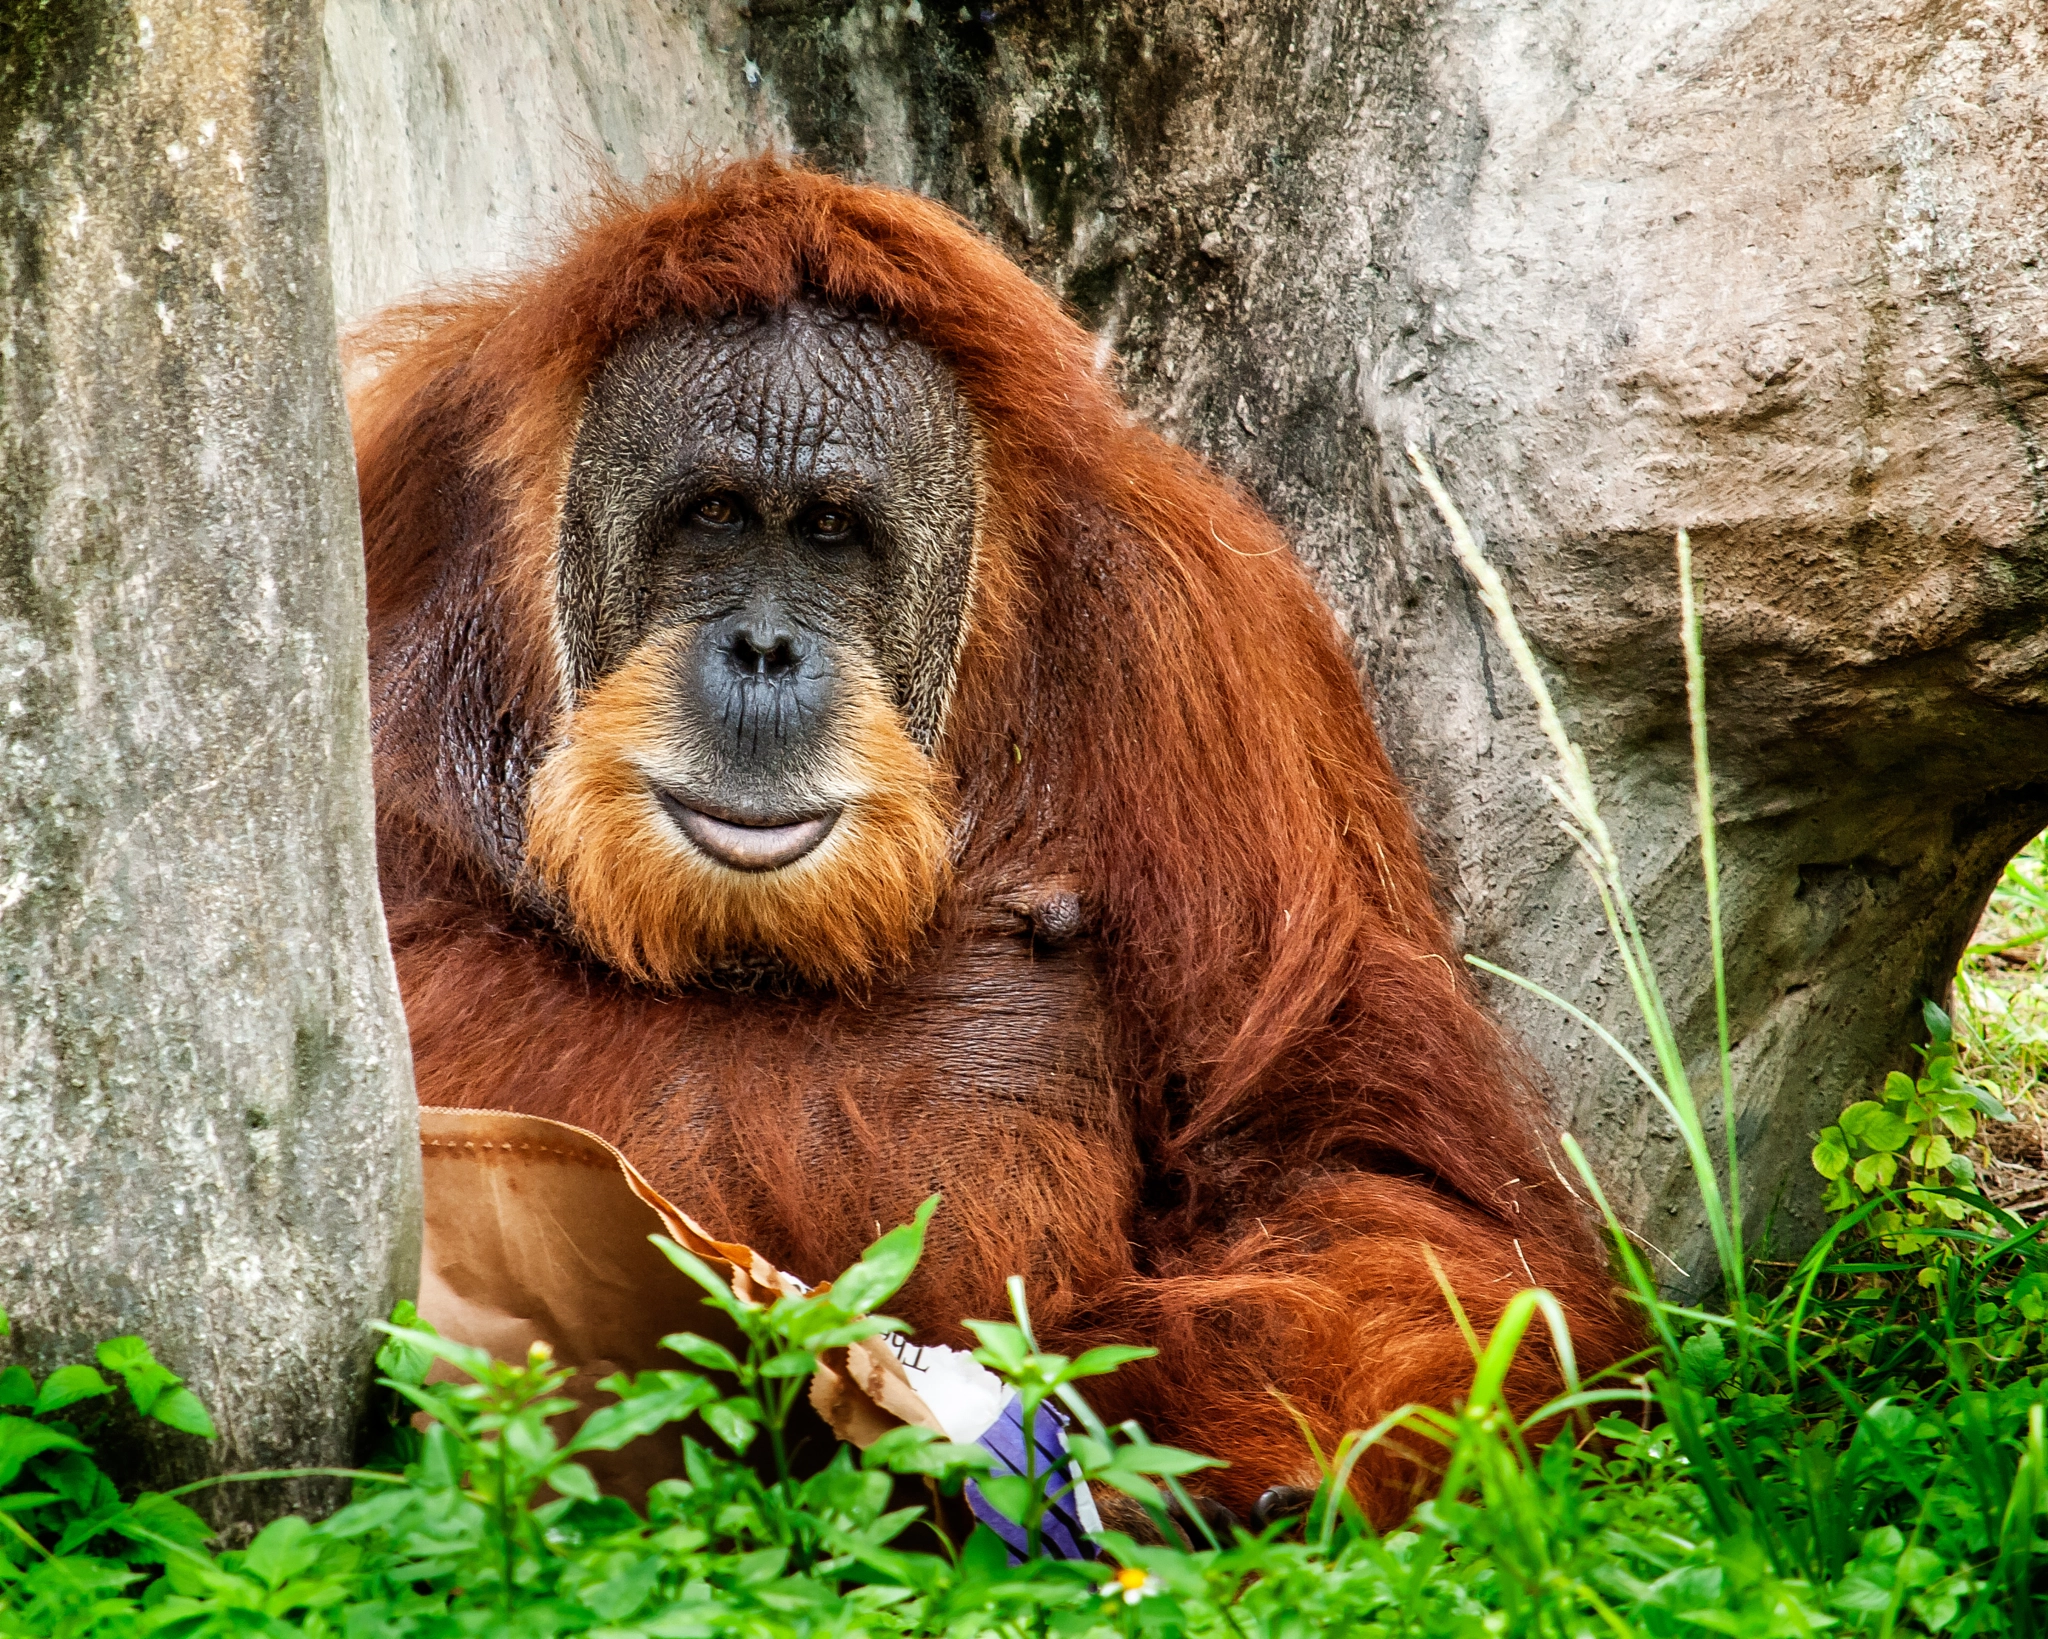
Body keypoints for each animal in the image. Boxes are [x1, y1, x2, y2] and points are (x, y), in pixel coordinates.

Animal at [353, 157, 1637, 1527]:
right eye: (712, 515)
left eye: (828, 531)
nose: (762, 651)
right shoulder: (387, 503)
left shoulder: (1208, 630)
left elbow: (1353, 1166)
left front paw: (1236, 1476)